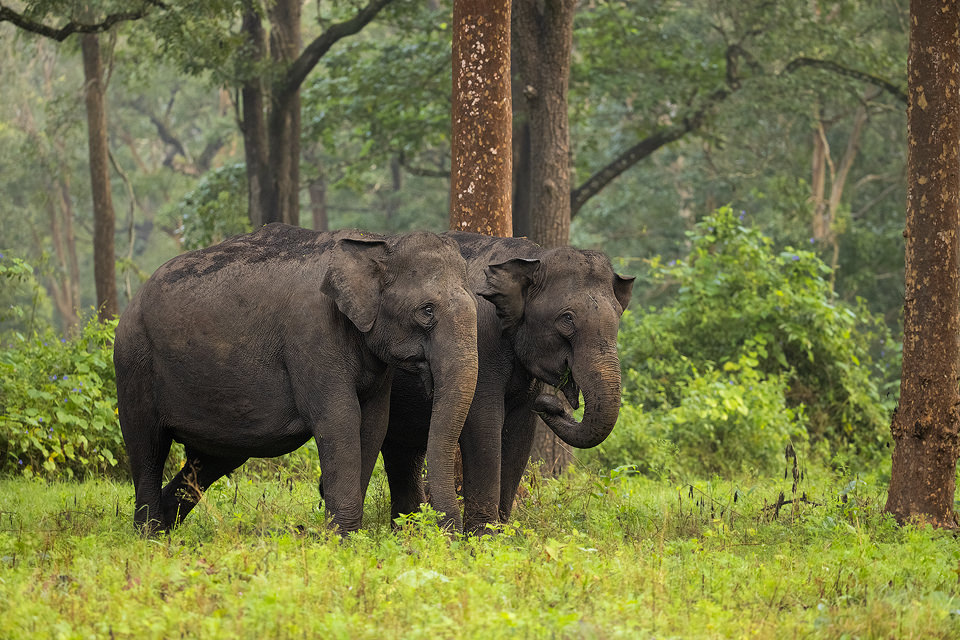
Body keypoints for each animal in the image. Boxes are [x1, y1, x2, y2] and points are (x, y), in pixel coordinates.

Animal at [114, 225, 480, 536]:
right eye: (427, 310)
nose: (450, 539)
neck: (379, 241)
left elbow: (373, 424)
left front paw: (346, 536)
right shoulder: (312, 337)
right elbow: (340, 419)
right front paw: (343, 541)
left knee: (209, 461)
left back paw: (166, 529)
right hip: (134, 361)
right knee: (147, 447)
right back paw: (149, 536)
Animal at [378, 232, 632, 532]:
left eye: (618, 316)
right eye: (567, 319)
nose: (550, 403)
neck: (532, 258)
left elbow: (520, 432)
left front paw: (503, 532)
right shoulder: (480, 343)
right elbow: (484, 423)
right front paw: (483, 535)